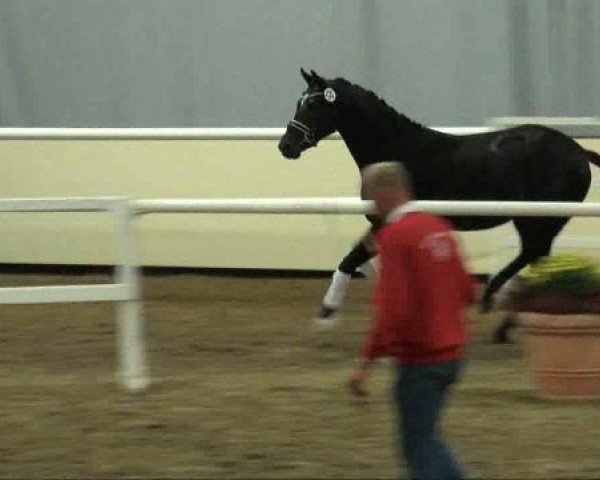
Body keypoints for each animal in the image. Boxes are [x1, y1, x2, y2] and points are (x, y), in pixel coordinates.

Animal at [276, 69, 600, 344]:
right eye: (299, 102)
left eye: (312, 104)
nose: (286, 146)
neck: (398, 156)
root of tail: (578, 151)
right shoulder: (383, 223)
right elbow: (364, 258)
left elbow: (349, 259)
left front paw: (326, 314)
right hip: (540, 219)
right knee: (539, 259)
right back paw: (506, 322)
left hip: (538, 217)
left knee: (534, 254)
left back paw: (491, 302)